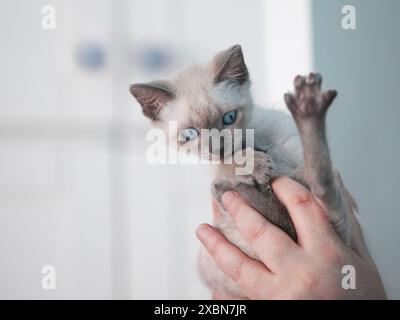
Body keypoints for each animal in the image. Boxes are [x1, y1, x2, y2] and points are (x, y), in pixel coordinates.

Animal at [130, 44, 358, 298]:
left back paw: (308, 104)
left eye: (229, 118)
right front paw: (255, 164)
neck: (255, 141)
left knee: (319, 182)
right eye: (189, 135)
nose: (217, 148)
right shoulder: (218, 166)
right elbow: (229, 163)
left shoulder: (295, 148)